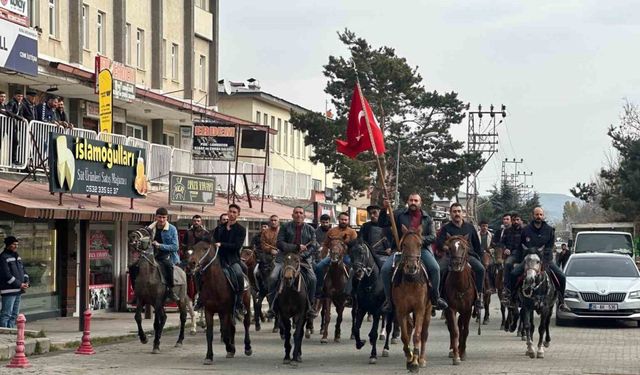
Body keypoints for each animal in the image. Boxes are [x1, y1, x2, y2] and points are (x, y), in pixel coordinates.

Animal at [390, 226, 430, 374]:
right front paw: (409, 359)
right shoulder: (400, 310)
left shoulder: (420, 309)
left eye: (420, 244)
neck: (411, 281)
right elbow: (405, 336)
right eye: (404, 245)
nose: (412, 267)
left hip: (428, 309)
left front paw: (415, 363)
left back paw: (421, 359)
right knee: (409, 327)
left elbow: (417, 335)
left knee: (424, 333)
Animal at [442, 236, 478, 366]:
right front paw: (456, 356)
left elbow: (465, 330)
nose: (456, 264)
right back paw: (453, 349)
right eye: (449, 248)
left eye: (463, 247)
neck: (459, 285)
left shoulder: (467, 310)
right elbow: (455, 331)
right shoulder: (450, 309)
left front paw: (463, 353)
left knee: (461, 326)